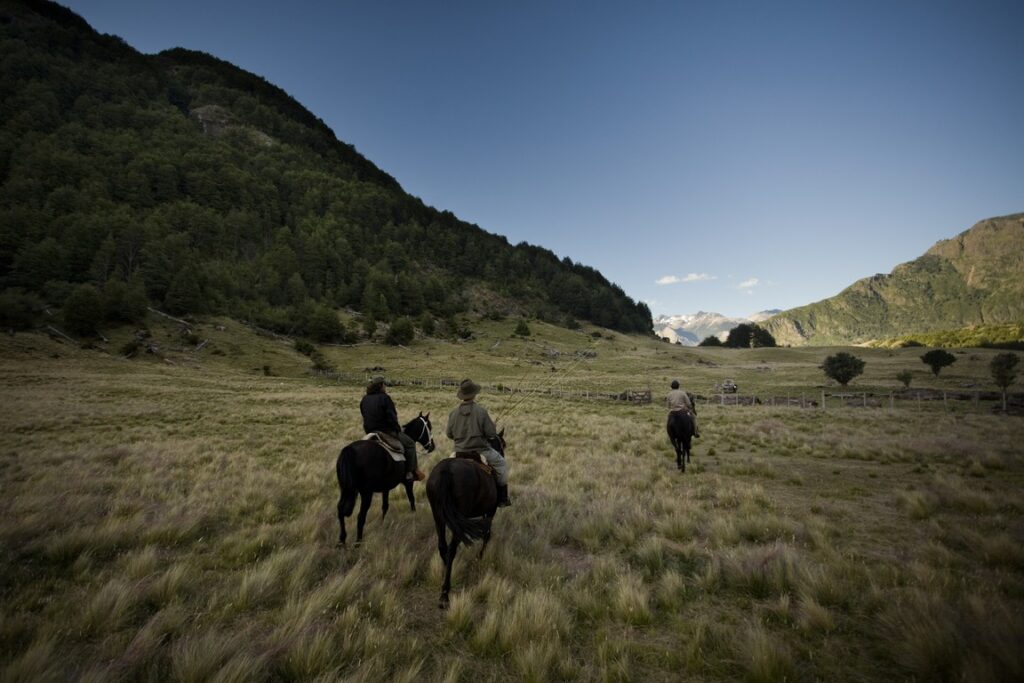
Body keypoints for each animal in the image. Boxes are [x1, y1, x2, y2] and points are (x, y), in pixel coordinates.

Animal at [333, 411, 434, 544]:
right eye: (429, 427)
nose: (432, 446)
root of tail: (349, 450)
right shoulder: (408, 482)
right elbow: (411, 499)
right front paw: (414, 515)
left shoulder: (386, 487)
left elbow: (385, 506)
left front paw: (382, 523)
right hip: (366, 493)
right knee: (360, 516)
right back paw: (358, 542)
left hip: (345, 489)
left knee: (340, 510)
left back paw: (342, 540)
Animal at [423, 432, 503, 610]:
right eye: (503, 444)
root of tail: (446, 471)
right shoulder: (491, 511)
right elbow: (487, 534)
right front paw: (479, 557)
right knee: (452, 548)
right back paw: (445, 593)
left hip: (438, 515)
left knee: (443, 547)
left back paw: (445, 573)